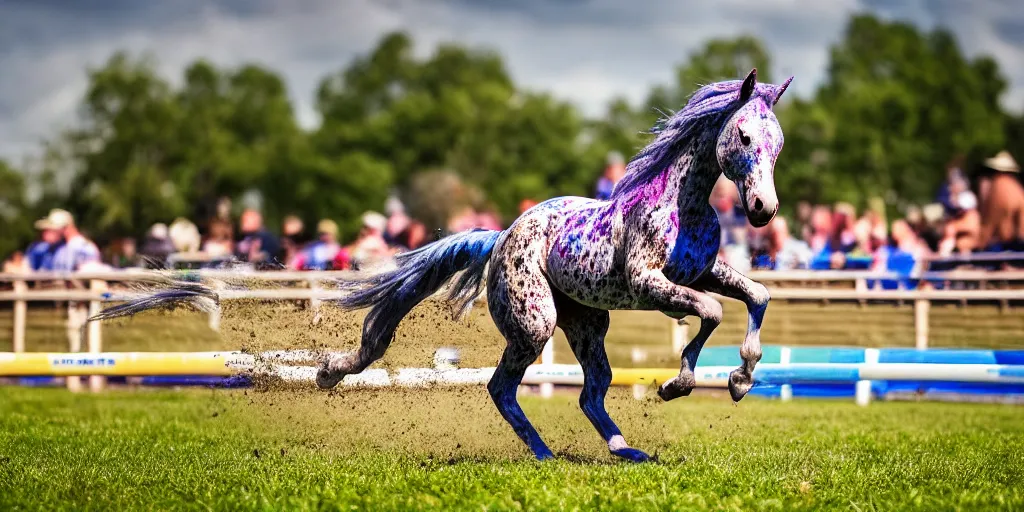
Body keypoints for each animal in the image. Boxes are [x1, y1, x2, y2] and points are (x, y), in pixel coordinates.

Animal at [90, 68, 790, 464]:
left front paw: (740, 378)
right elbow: (709, 312)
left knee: (591, 392)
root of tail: (501, 236)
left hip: (586, 322)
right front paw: (681, 384)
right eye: (744, 137)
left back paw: (626, 452)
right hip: (537, 323)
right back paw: (544, 456)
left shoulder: (697, 273)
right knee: (504, 388)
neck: (681, 200)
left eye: (778, 143)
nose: (763, 211)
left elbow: (752, 298)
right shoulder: (651, 284)